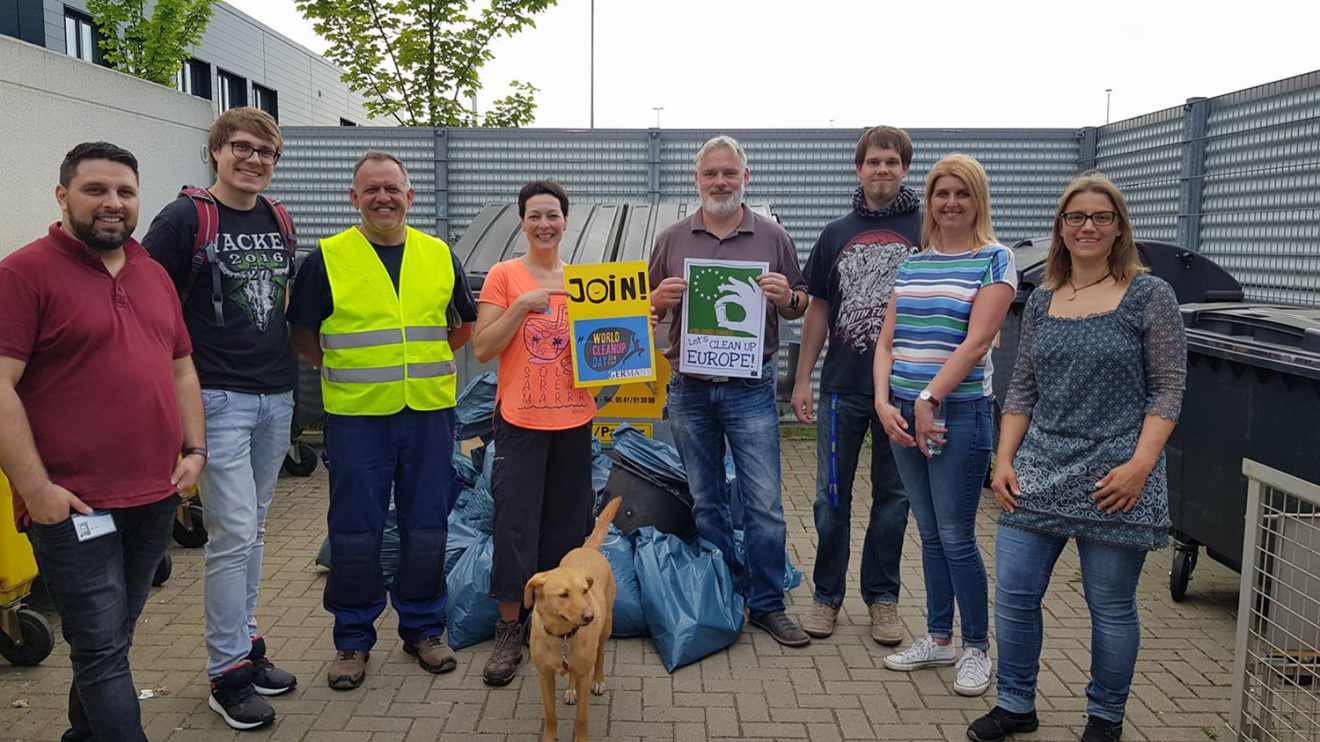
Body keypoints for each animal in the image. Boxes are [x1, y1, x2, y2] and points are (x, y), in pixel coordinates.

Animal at [522, 491, 620, 739]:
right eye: (563, 594)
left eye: (584, 591)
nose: (590, 616)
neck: (562, 637)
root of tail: (588, 549)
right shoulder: (544, 676)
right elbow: (551, 716)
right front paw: (549, 738)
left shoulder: (584, 674)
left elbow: (582, 718)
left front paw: (581, 738)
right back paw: (570, 690)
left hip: (606, 628)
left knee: (601, 655)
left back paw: (599, 680)